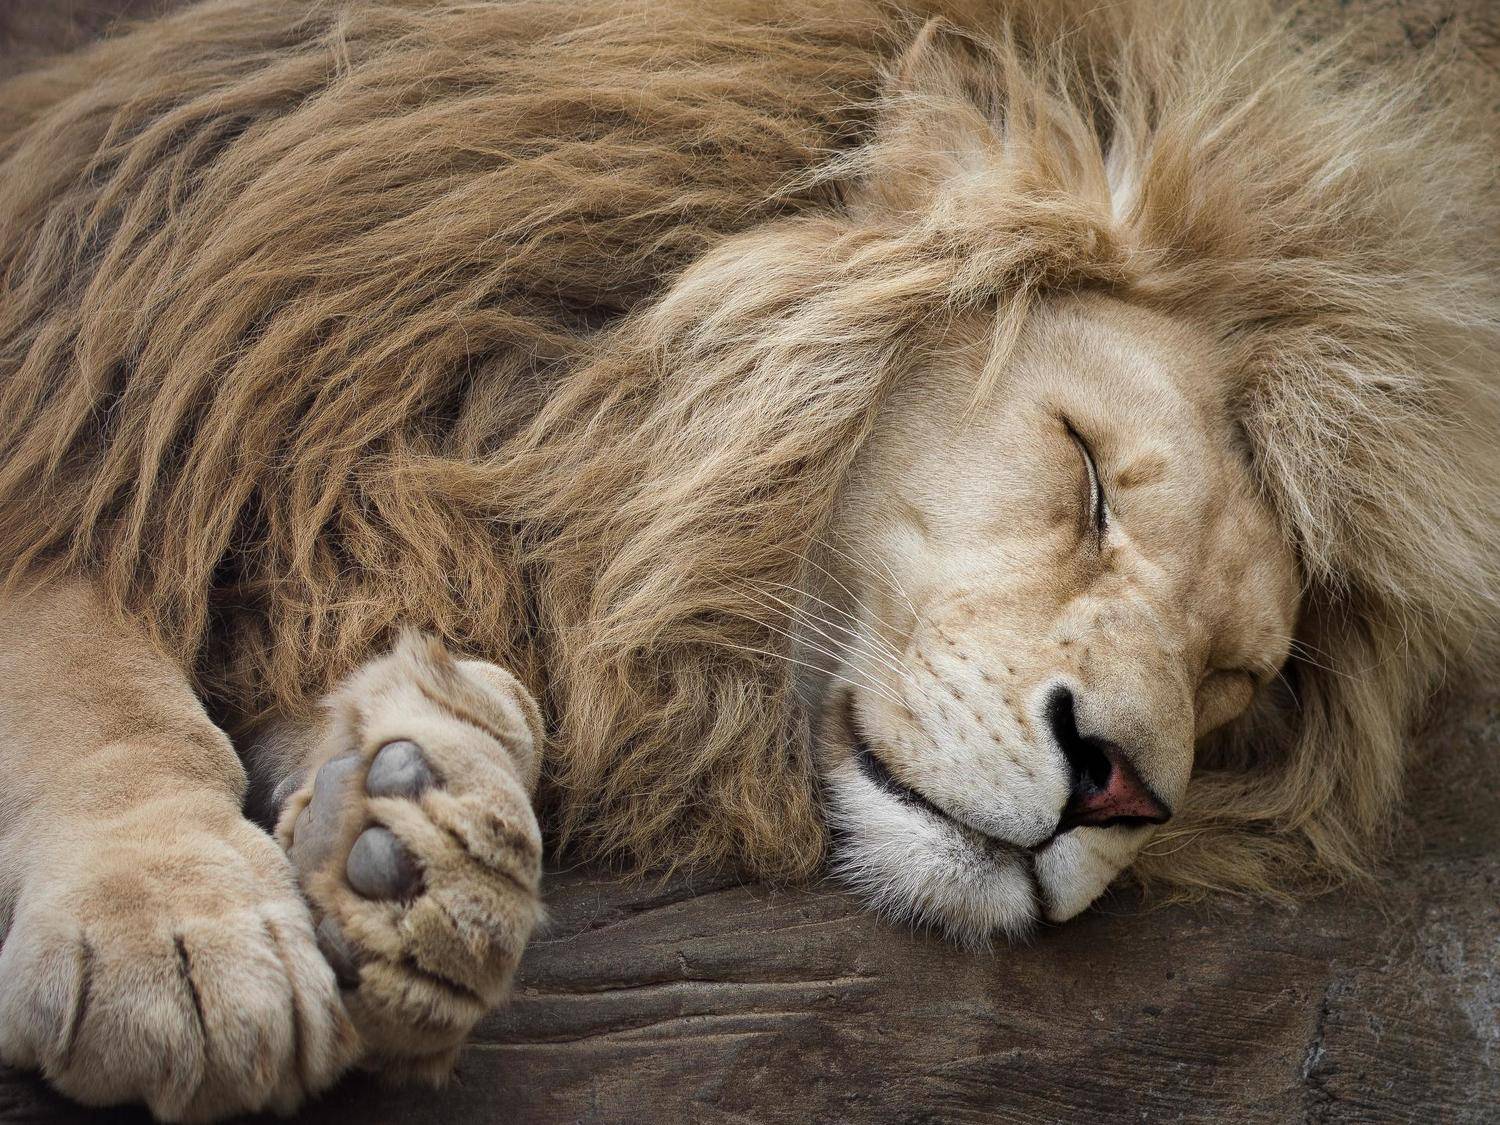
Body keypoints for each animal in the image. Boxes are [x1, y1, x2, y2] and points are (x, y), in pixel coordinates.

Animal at [0, 0, 1496, 1119]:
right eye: (1085, 474)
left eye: (1233, 676)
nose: (1117, 788)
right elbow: (91, 679)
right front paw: (182, 938)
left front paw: (419, 836)